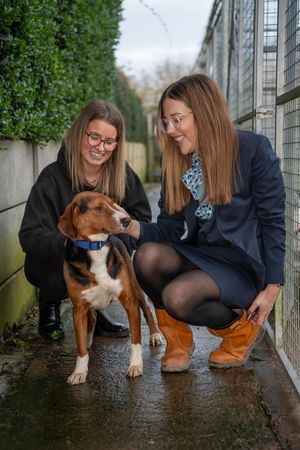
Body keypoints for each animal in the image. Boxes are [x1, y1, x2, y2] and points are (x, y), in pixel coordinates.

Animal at [58, 192, 162, 384]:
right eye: (98, 208)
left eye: (113, 204)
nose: (127, 220)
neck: (95, 248)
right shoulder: (79, 309)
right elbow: (80, 346)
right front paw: (79, 371)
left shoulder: (129, 301)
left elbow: (135, 340)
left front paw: (135, 365)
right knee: (92, 320)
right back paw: (89, 340)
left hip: (136, 287)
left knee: (148, 311)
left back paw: (155, 334)